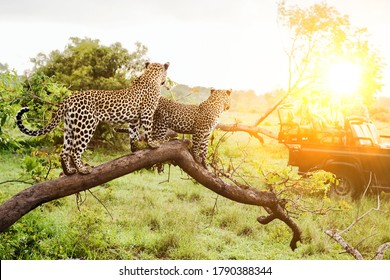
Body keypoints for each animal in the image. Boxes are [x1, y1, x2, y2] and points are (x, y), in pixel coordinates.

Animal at [16, 61, 170, 175]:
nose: (164, 82)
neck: (150, 75)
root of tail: (69, 98)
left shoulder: (134, 119)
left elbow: (133, 133)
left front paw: (136, 147)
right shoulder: (147, 112)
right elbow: (148, 129)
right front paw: (152, 144)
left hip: (70, 127)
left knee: (64, 152)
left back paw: (69, 171)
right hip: (86, 125)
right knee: (75, 151)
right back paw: (83, 170)